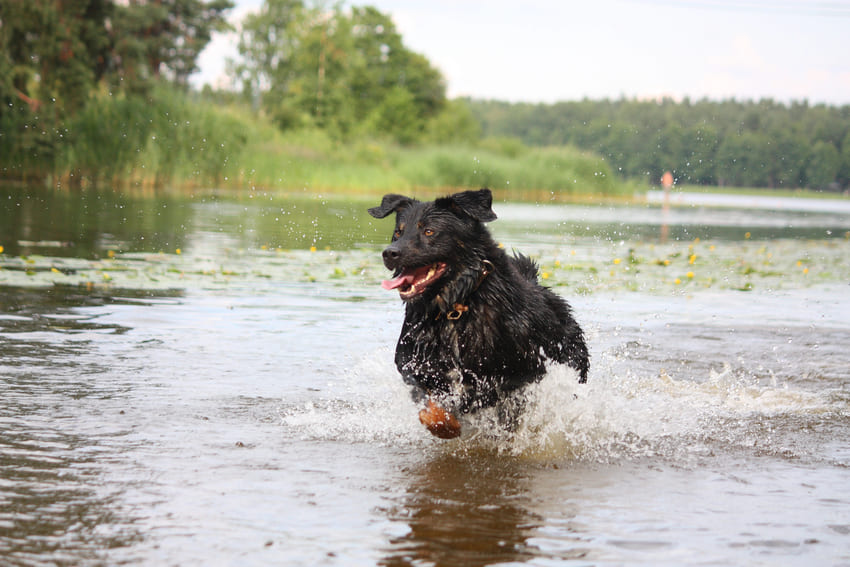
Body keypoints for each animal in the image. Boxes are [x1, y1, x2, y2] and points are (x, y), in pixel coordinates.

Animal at [368, 187, 588, 440]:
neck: (455, 308)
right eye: (398, 232)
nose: (389, 253)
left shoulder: (520, 374)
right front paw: (443, 423)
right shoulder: (413, 366)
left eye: (429, 231)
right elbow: (430, 404)